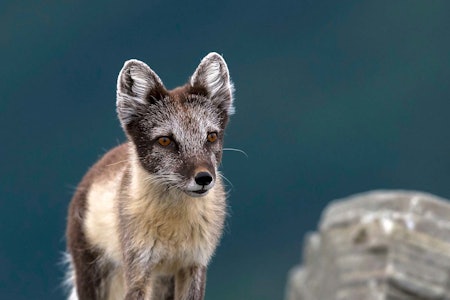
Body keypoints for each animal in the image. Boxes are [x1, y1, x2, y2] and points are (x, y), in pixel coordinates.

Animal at [67, 52, 236, 298]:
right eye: (165, 140)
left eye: (211, 136)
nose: (204, 178)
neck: (174, 232)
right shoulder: (139, 267)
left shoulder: (194, 264)